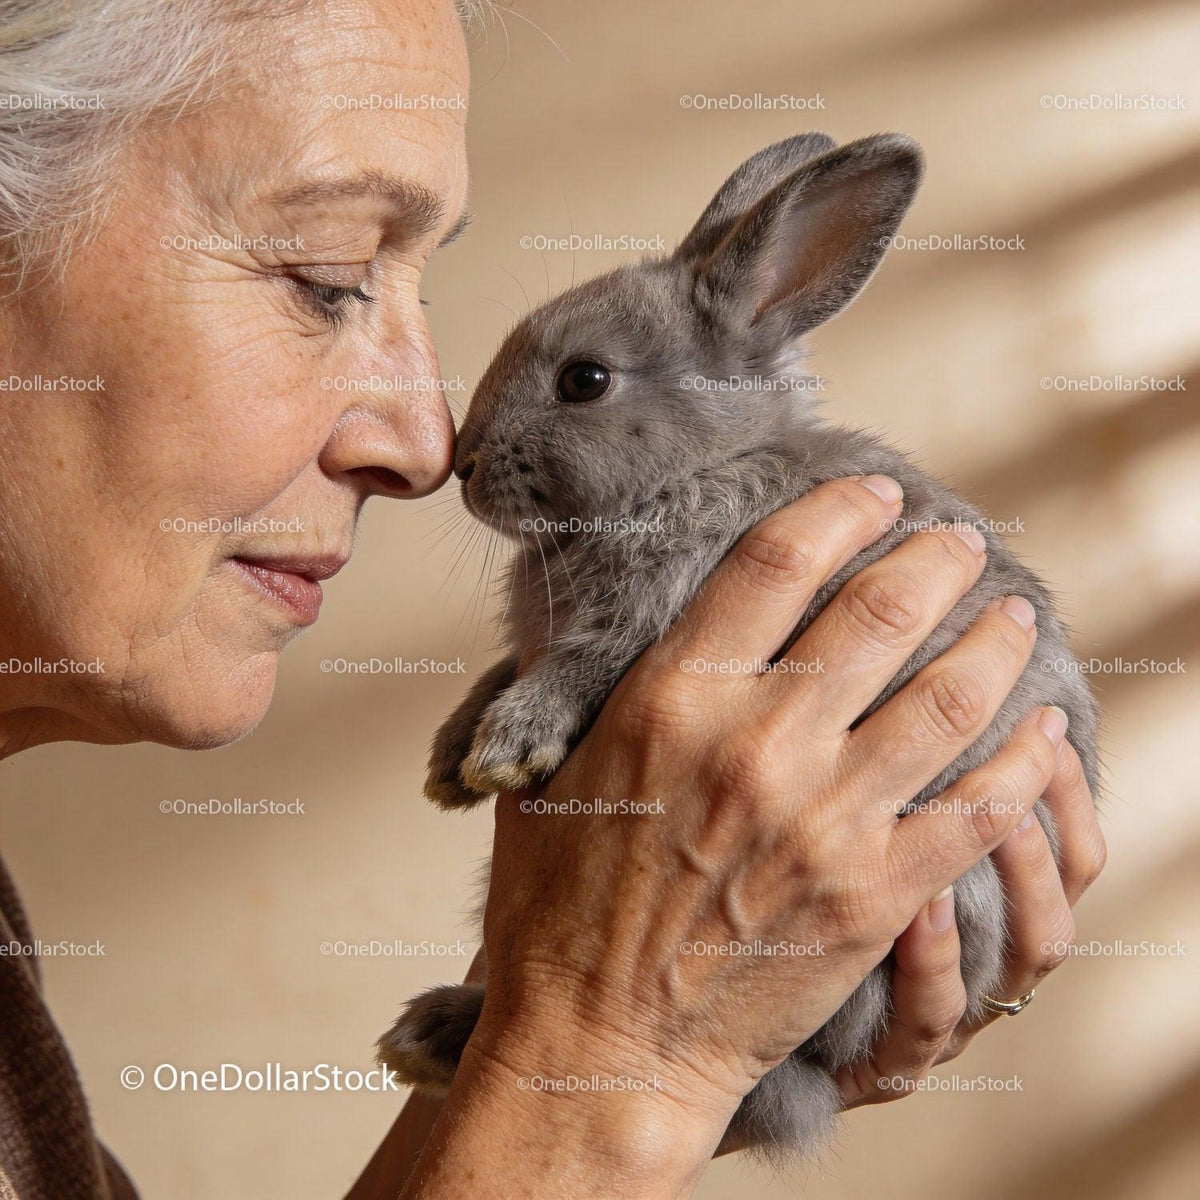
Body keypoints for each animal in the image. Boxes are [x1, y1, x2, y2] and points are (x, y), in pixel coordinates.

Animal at [377, 132, 1101, 1161]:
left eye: (585, 379)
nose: (465, 469)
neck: (699, 469)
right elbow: (503, 669)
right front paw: (450, 765)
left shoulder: (643, 620)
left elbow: (567, 674)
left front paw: (507, 751)